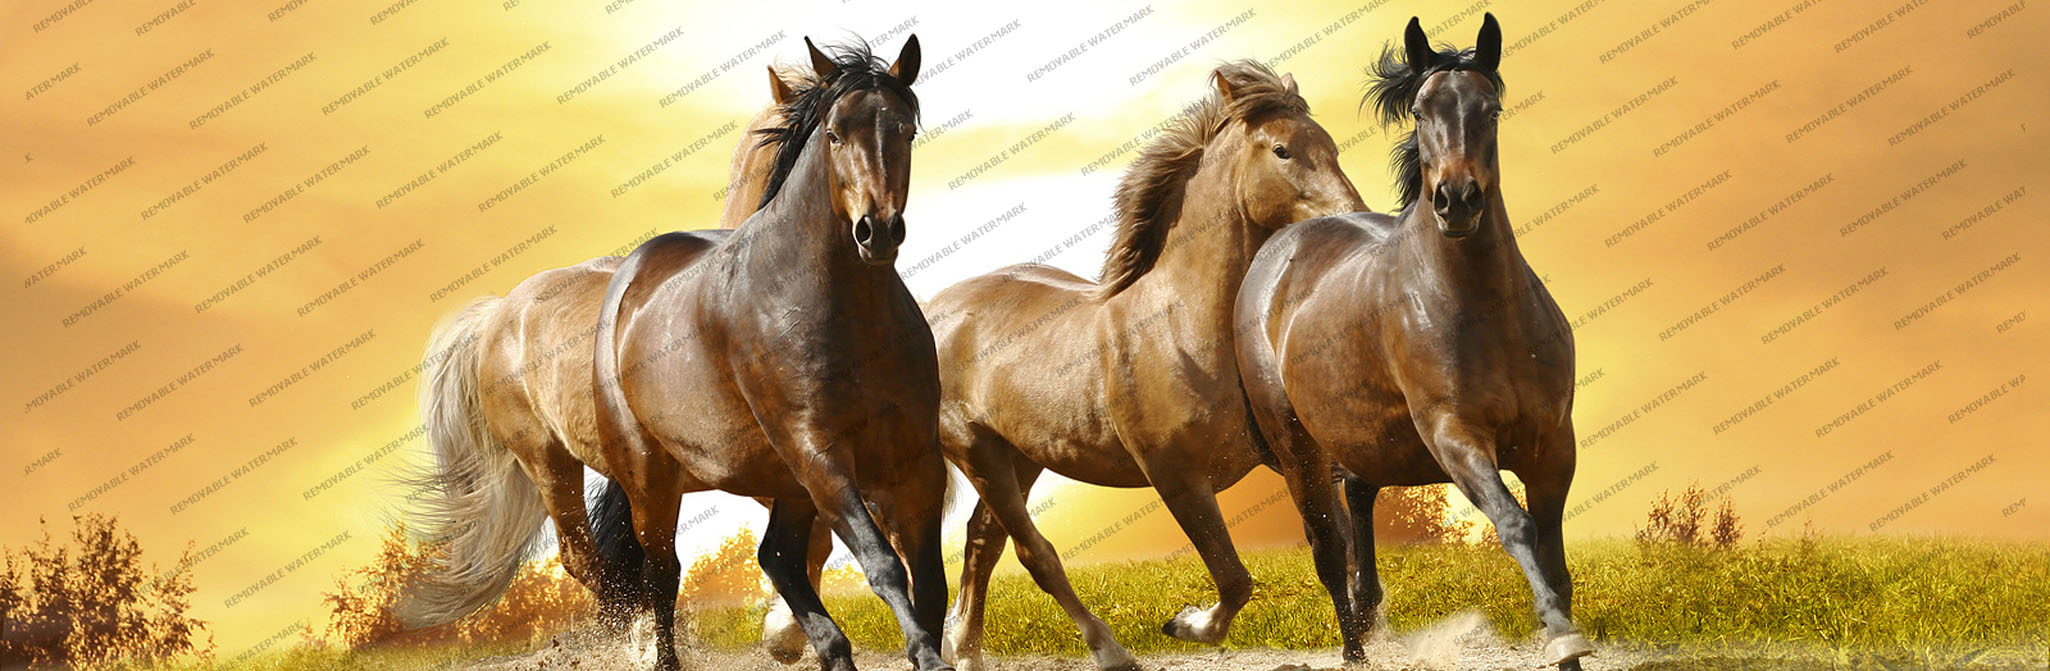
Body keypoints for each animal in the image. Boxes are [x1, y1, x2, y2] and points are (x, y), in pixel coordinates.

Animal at [583, 36, 950, 671]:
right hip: (654, 479)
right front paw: (925, 652)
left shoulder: (915, 458)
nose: (876, 231)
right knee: (663, 574)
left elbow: (929, 582)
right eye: (834, 134)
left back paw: (828, 650)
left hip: (788, 484)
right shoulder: (821, 453)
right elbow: (882, 564)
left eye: (905, 130)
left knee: (777, 557)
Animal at [921, 61, 1365, 671]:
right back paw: (1110, 650)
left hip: (1022, 456)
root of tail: (934, 310)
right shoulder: (1176, 478)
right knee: (1035, 553)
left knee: (983, 543)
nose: (1354, 219)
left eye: (1330, 145)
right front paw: (1184, 623)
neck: (1181, 327)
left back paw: (963, 649)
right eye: (1282, 150)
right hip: (977, 451)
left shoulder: (1298, 455)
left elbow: (1333, 550)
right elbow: (1234, 580)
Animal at [1233, 14, 1594, 669]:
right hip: (1297, 446)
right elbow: (1516, 526)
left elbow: (1556, 561)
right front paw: (1558, 635)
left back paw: (1369, 609)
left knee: (1359, 500)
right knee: (1327, 546)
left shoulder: (1554, 443)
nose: (1457, 200)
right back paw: (1355, 648)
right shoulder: (1455, 435)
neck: (1486, 312)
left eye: (1490, 109)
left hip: (1367, 439)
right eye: (1422, 111)